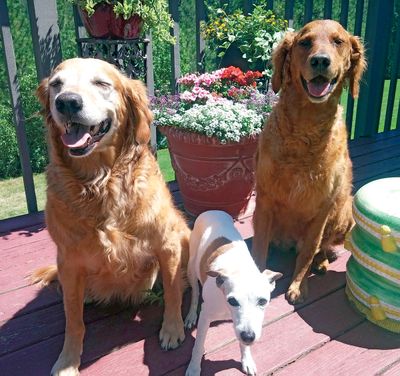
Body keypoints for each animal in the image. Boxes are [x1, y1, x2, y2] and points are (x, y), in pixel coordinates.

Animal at [33, 57, 191, 374]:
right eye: (56, 84)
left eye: (101, 83)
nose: (67, 102)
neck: (100, 182)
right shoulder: (68, 262)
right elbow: (73, 320)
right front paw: (68, 360)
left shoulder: (167, 243)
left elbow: (172, 291)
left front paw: (172, 329)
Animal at [184, 210, 282, 374]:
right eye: (233, 301)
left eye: (263, 301)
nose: (249, 336)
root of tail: (212, 211)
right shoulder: (205, 316)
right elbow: (198, 345)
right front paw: (193, 368)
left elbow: (243, 342)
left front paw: (247, 360)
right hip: (191, 267)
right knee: (195, 293)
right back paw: (191, 315)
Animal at [253, 19, 366, 306]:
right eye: (305, 42)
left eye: (338, 41)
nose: (320, 61)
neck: (305, 128)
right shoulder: (265, 199)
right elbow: (258, 247)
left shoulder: (322, 208)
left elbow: (309, 249)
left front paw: (298, 284)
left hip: (345, 212)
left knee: (321, 248)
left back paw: (322, 263)